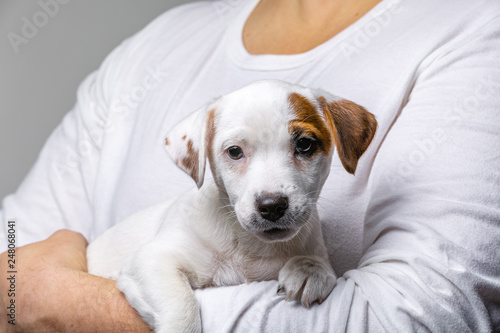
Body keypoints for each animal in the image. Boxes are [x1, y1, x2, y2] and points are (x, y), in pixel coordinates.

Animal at [87, 79, 376, 330]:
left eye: (305, 144)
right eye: (235, 151)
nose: (272, 206)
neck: (248, 247)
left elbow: (317, 261)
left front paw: (309, 268)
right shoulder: (152, 261)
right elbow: (181, 308)